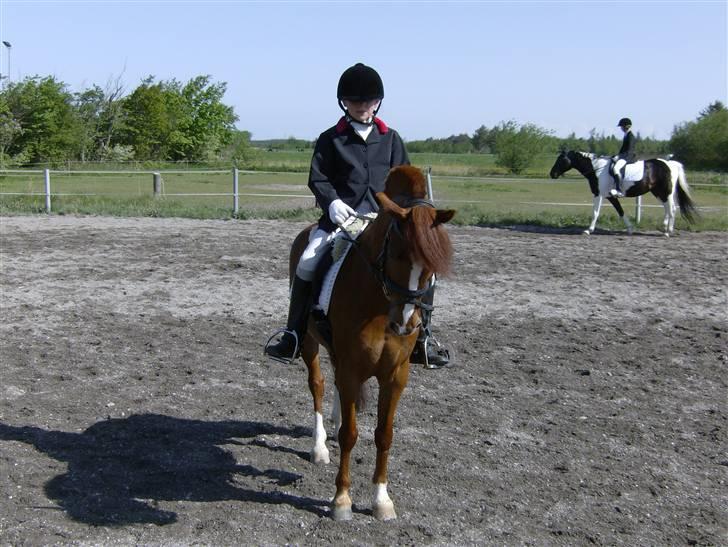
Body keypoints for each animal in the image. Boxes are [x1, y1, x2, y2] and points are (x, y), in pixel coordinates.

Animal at [286, 166, 452, 524]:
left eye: (431, 266)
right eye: (397, 254)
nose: (406, 323)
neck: (378, 305)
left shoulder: (396, 375)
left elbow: (384, 435)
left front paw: (382, 500)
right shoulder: (352, 369)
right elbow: (351, 435)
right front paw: (342, 500)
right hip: (309, 343)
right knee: (319, 384)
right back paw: (320, 446)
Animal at [548, 150, 696, 235]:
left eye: (561, 159)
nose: (552, 174)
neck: (597, 169)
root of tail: (671, 164)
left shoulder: (598, 194)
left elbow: (596, 212)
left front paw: (588, 230)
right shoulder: (609, 196)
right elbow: (620, 211)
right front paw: (630, 229)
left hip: (666, 192)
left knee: (672, 209)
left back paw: (668, 231)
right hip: (658, 192)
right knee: (667, 208)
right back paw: (665, 227)